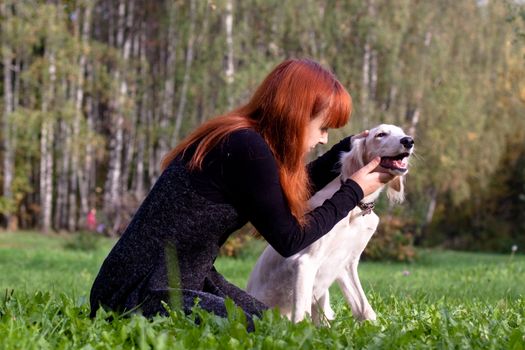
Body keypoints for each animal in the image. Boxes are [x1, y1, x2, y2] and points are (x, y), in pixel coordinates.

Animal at [246, 124, 414, 324]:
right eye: (380, 134)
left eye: (401, 132)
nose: (409, 141)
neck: (355, 210)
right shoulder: (305, 262)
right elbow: (300, 318)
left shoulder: (347, 263)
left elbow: (364, 309)